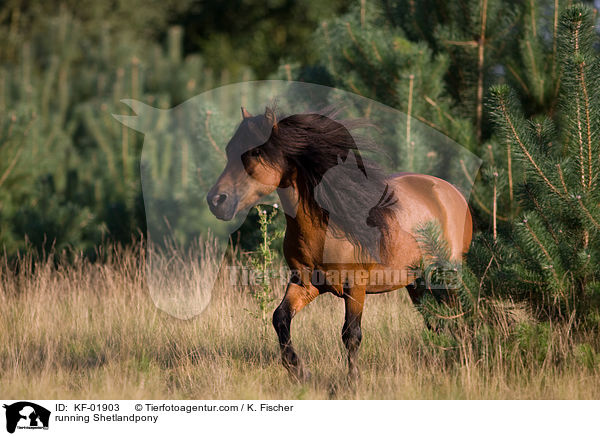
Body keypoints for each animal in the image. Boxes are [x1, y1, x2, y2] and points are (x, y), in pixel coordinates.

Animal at [207, 106, 474, 382]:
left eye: (256, 152)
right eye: (229, 149)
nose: (216, 201)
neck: (326, 226)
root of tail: (450, 192)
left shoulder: (355, 286)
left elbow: (351, 334)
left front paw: (353, 379)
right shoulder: (305, 283)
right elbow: (280, 317)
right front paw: (298, 370)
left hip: (445, 277)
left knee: (458, 317)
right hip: (417, 283)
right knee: (436, 322)